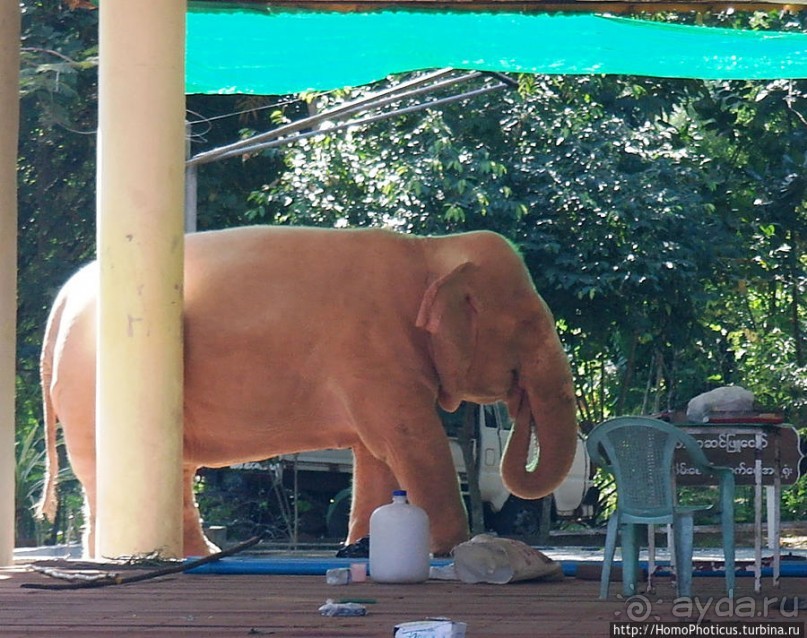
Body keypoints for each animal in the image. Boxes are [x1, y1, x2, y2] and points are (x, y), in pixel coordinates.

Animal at [36, 228, 580, 556]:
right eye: (530, 326)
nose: (516, 407)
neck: (430, 249)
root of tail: (62, 298)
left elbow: (376, 454)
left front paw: (360, 548)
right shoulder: (372, 347)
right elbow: (408, 438)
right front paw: (451, 550)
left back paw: (200, 556)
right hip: (88, 383)